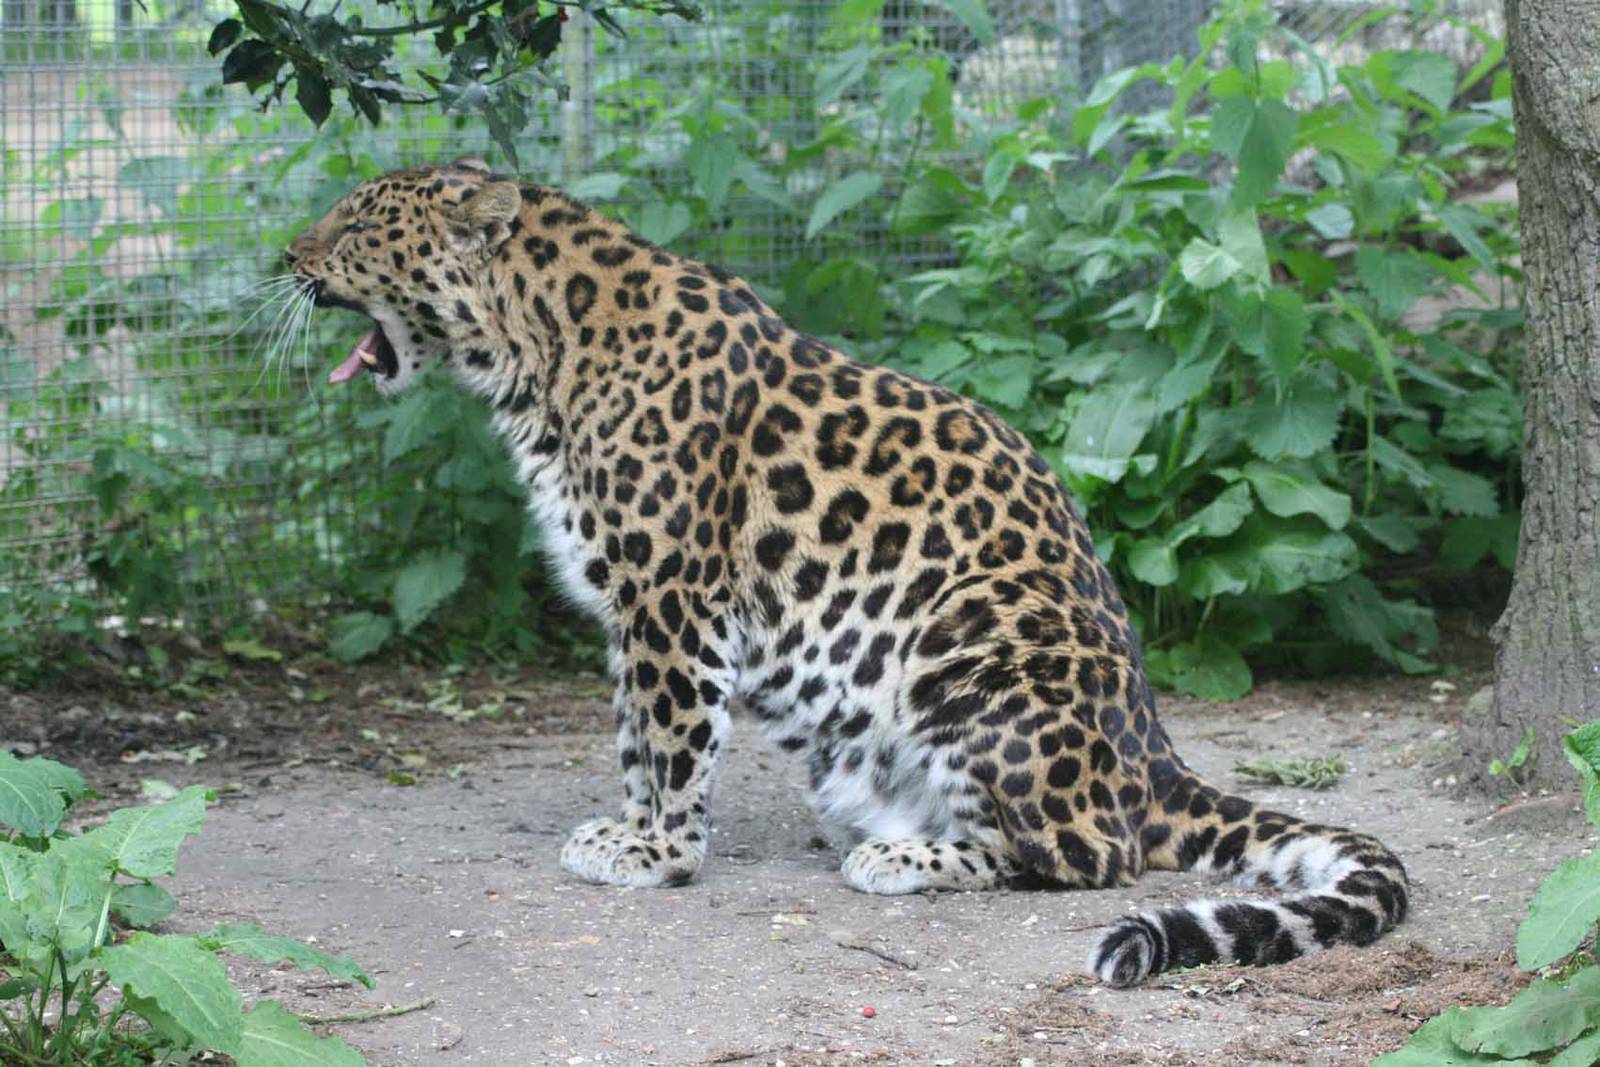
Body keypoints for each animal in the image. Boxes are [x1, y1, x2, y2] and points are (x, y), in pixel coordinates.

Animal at [286, 157, 1409, 986]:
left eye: (356, 224)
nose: (285, 254)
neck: (533, 354)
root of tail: (1155, 756)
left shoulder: (675, 599)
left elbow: (673, 739)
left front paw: (658, 853)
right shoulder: (627, 609)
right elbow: (634, 737)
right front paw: (627, 826)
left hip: (974, 635)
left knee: (1089, 852)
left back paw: (902, 857)